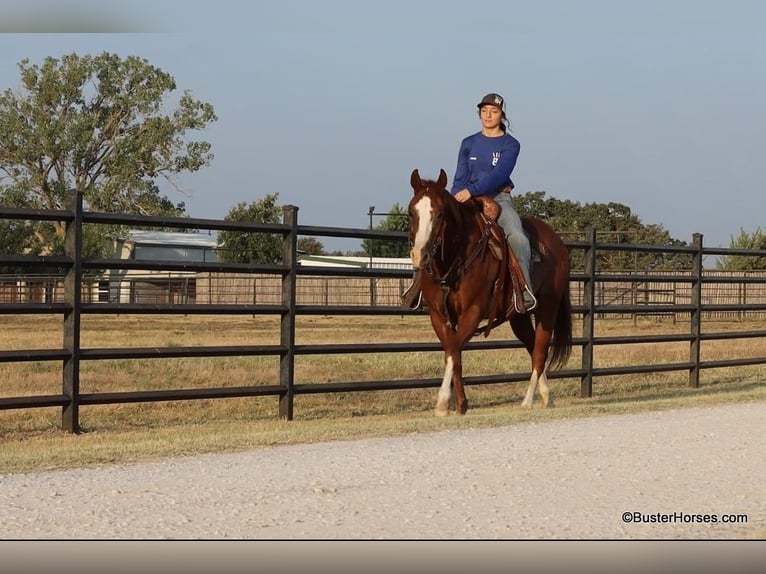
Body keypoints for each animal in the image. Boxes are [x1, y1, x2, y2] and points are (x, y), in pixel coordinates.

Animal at [407, 168, 572, 416]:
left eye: (440, 214)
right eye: (411, 213)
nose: (420, 255)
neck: (455, 260)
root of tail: (557, 242)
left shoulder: (473, 312)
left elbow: (453, 350)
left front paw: (443, 403)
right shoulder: (439, 316)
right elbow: (452, 353)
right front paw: (460, 403)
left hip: (548, 309)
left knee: (540, 352)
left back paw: (527, 401)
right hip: (519, 317)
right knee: (532, 347)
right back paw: (546, 397)